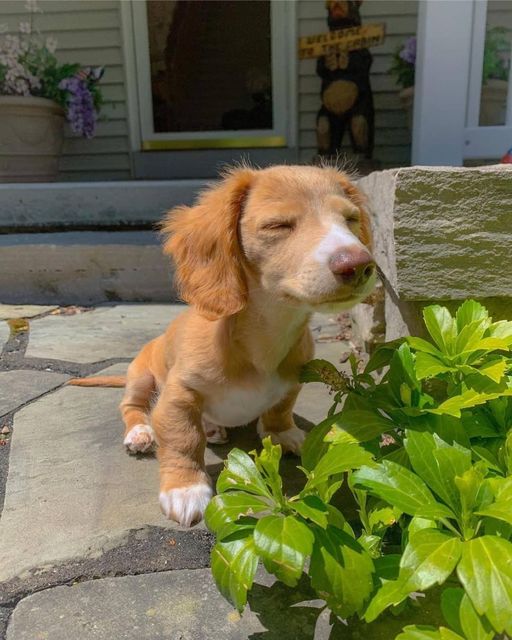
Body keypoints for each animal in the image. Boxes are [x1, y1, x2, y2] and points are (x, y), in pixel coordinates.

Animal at [71, 165, 376, 527]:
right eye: (278, 225)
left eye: (351, 219)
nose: (359, 264)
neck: (267, 334)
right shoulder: (177, 396)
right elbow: (183, 439)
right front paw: (185, 489)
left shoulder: (294, 381)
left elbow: (280, 407)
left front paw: (283, 433)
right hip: (141, 375)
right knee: (131, 407)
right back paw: (141, 432)